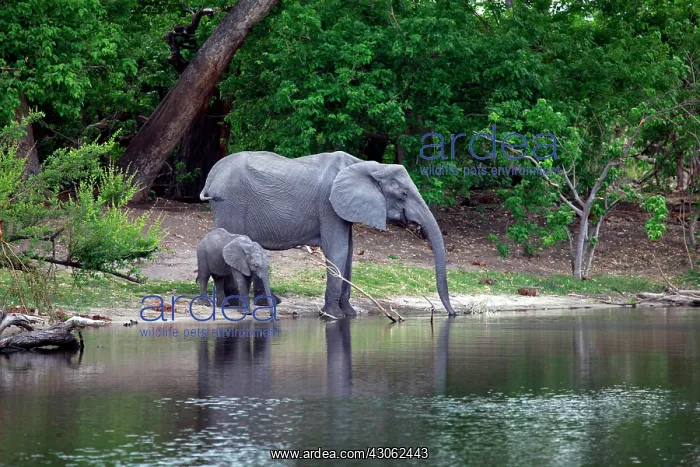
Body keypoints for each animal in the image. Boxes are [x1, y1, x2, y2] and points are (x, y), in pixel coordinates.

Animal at [200, 150, 456, 318]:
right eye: (403, 194)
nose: (452, 314)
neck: (367, 165)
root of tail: (213, 174)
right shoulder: (329, 206)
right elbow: (338, 250)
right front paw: (334, 315)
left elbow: (349, 252)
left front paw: (350, 314)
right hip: (230, 204)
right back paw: (234, 304)